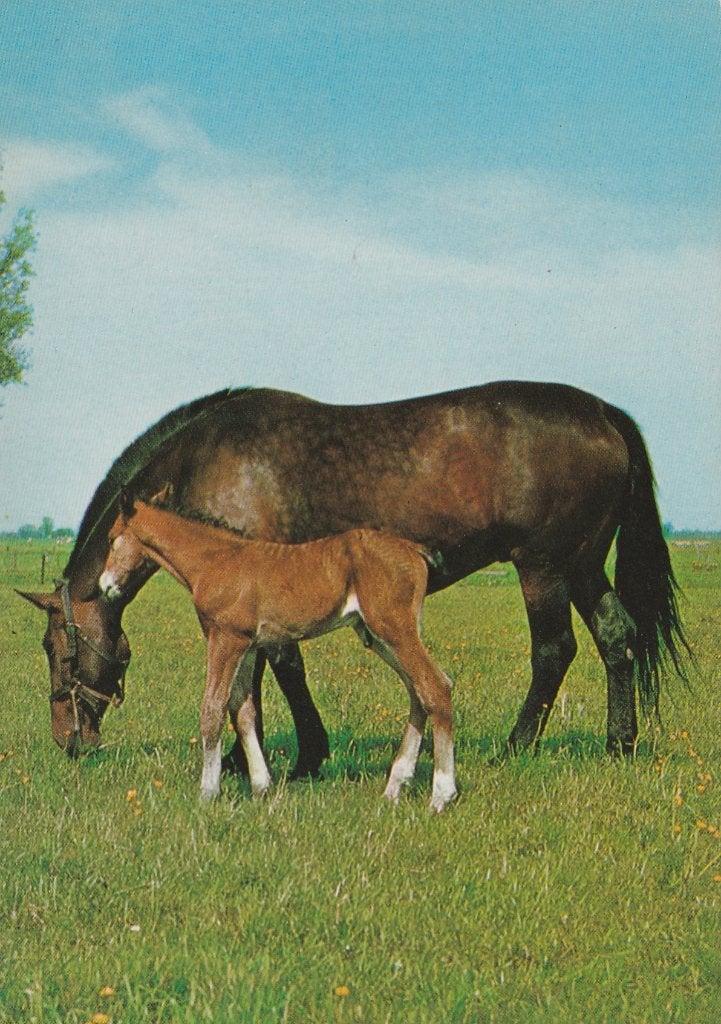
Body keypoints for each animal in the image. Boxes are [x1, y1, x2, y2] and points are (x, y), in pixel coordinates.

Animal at [19, 382, 689, 769]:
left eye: (57, 650)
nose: (67, 740)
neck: (207, 460)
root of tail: (603, 412)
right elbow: (261, 675)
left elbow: (273, 671)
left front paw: (291, 759)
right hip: (582, 564)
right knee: (616, 637)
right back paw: (619, 745)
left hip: (543, 567)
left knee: (554, 650)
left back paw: (514, 749)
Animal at [99, 492, 457, 810]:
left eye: (113, 538)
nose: (105, 586)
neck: (215, 561)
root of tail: (414, 549)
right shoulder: (247, 646)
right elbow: (243, 711)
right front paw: (261, 786)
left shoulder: (226, 639)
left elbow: (212, 710)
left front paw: (208, 793)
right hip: (378, 636)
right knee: (417, 692)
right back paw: (395, 787)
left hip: (394, 630)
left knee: (436, 687)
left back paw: (441, 795)